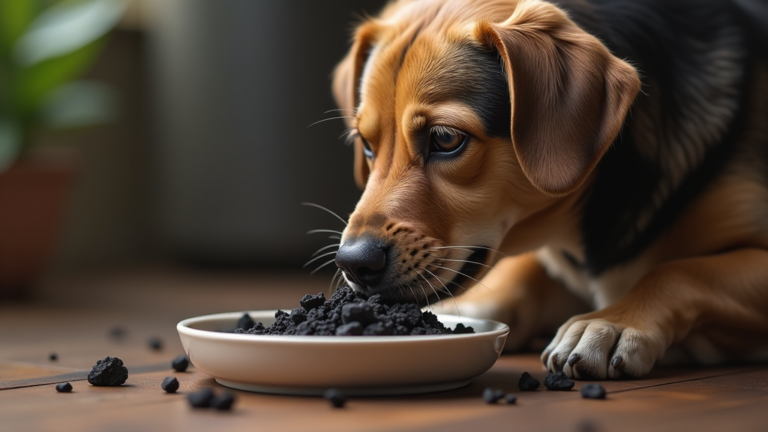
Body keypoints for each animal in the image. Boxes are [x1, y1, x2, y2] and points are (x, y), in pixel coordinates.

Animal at [330, 0, 768, 378]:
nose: (353, 263)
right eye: (366, 144)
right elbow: (520, 275)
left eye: (445, 138)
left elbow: (680, 272)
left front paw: (610, 323)